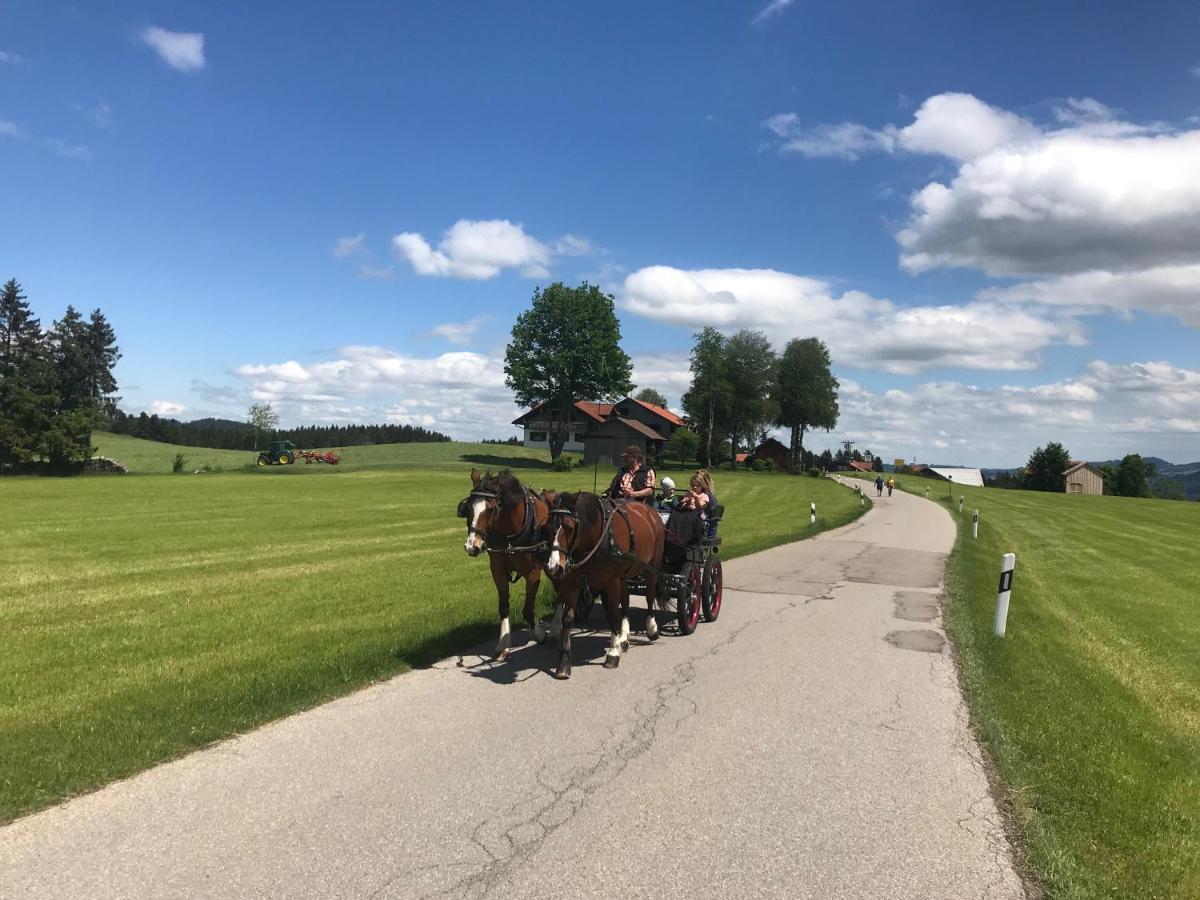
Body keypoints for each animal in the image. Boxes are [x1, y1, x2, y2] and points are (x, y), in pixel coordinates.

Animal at [458, 472, 552, 662]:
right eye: (468, 507)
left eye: (491, 508)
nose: (472, 546)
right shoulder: (497, 570)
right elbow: (503, 607)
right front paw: (503, 644)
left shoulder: (533, 573)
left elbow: (528, 609)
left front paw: (539, 634)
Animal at [547, 496, 667, 681]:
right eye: (548, 526)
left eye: (569, 527)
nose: (554, 568)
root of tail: (651, 512)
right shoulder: (573, 582)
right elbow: (567, 619)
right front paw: (564, 663)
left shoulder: (611, 582)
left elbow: (611, 615)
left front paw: (613, 653)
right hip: (624, 575)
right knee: (626, 601)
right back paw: (624, 636)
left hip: (651, 566)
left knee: (649, 595)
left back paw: (651, 628)